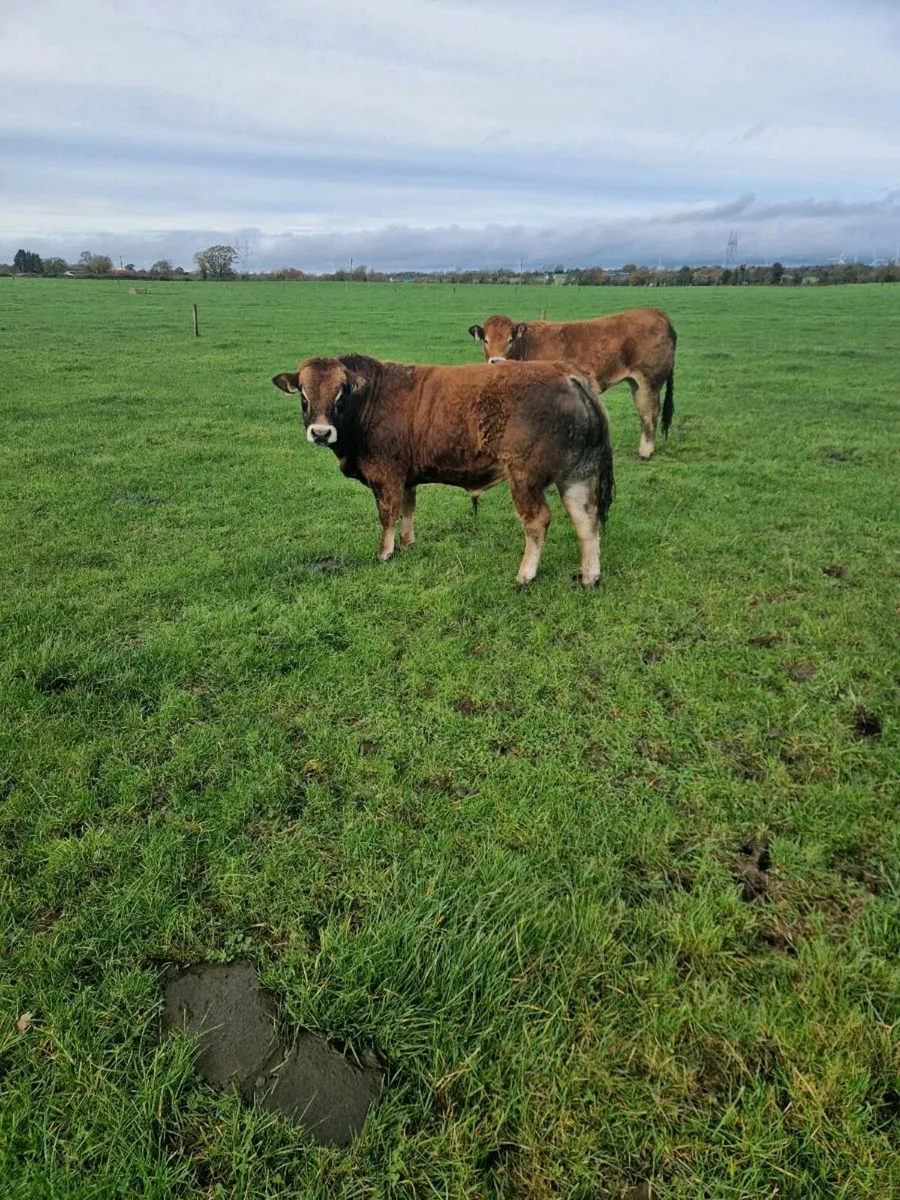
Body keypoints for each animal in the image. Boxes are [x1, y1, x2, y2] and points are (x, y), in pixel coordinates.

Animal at [271, 354, 614, 587]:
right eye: (303, 395)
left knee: (537, 522)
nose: (320, 433)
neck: (370, 401)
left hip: (524, 479)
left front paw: (385, 553)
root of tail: (567, 374)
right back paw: (590, 576)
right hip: (576, 477)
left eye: (341, 393)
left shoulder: (385, 476)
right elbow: (408, 509)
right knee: (587, 521)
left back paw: (525, 573)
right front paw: (407, 544)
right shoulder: (406, 478)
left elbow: (387, 515)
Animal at [468, 308, 677, 460]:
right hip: (637, 383)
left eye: (510, 340)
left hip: (649, 381)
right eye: (486, 340)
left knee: (650, 413)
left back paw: (645, 452)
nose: (496, 361)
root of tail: (658, 313)